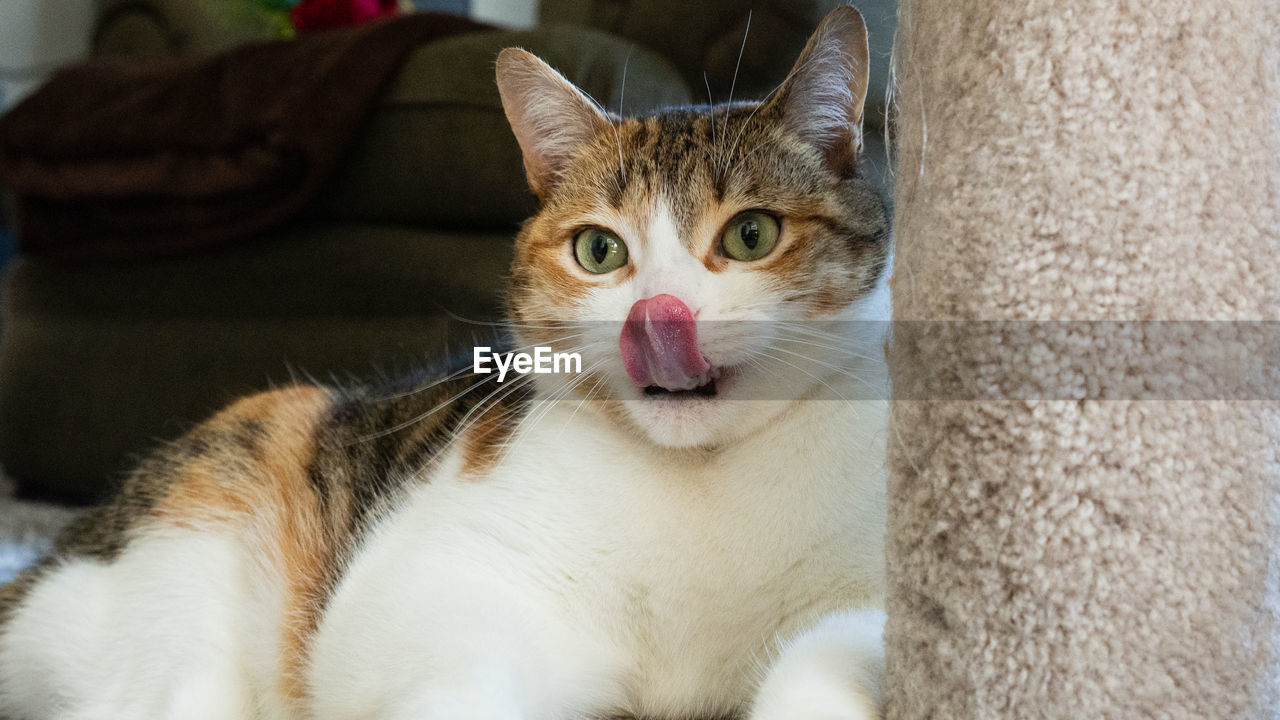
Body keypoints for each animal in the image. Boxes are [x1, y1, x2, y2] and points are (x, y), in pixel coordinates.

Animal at [0, 7, 890, 717]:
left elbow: (828, 659)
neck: (698, 484)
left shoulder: (866, 603)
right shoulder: (440, 579)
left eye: (751, 235)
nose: (658, 318)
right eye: (600, 251)